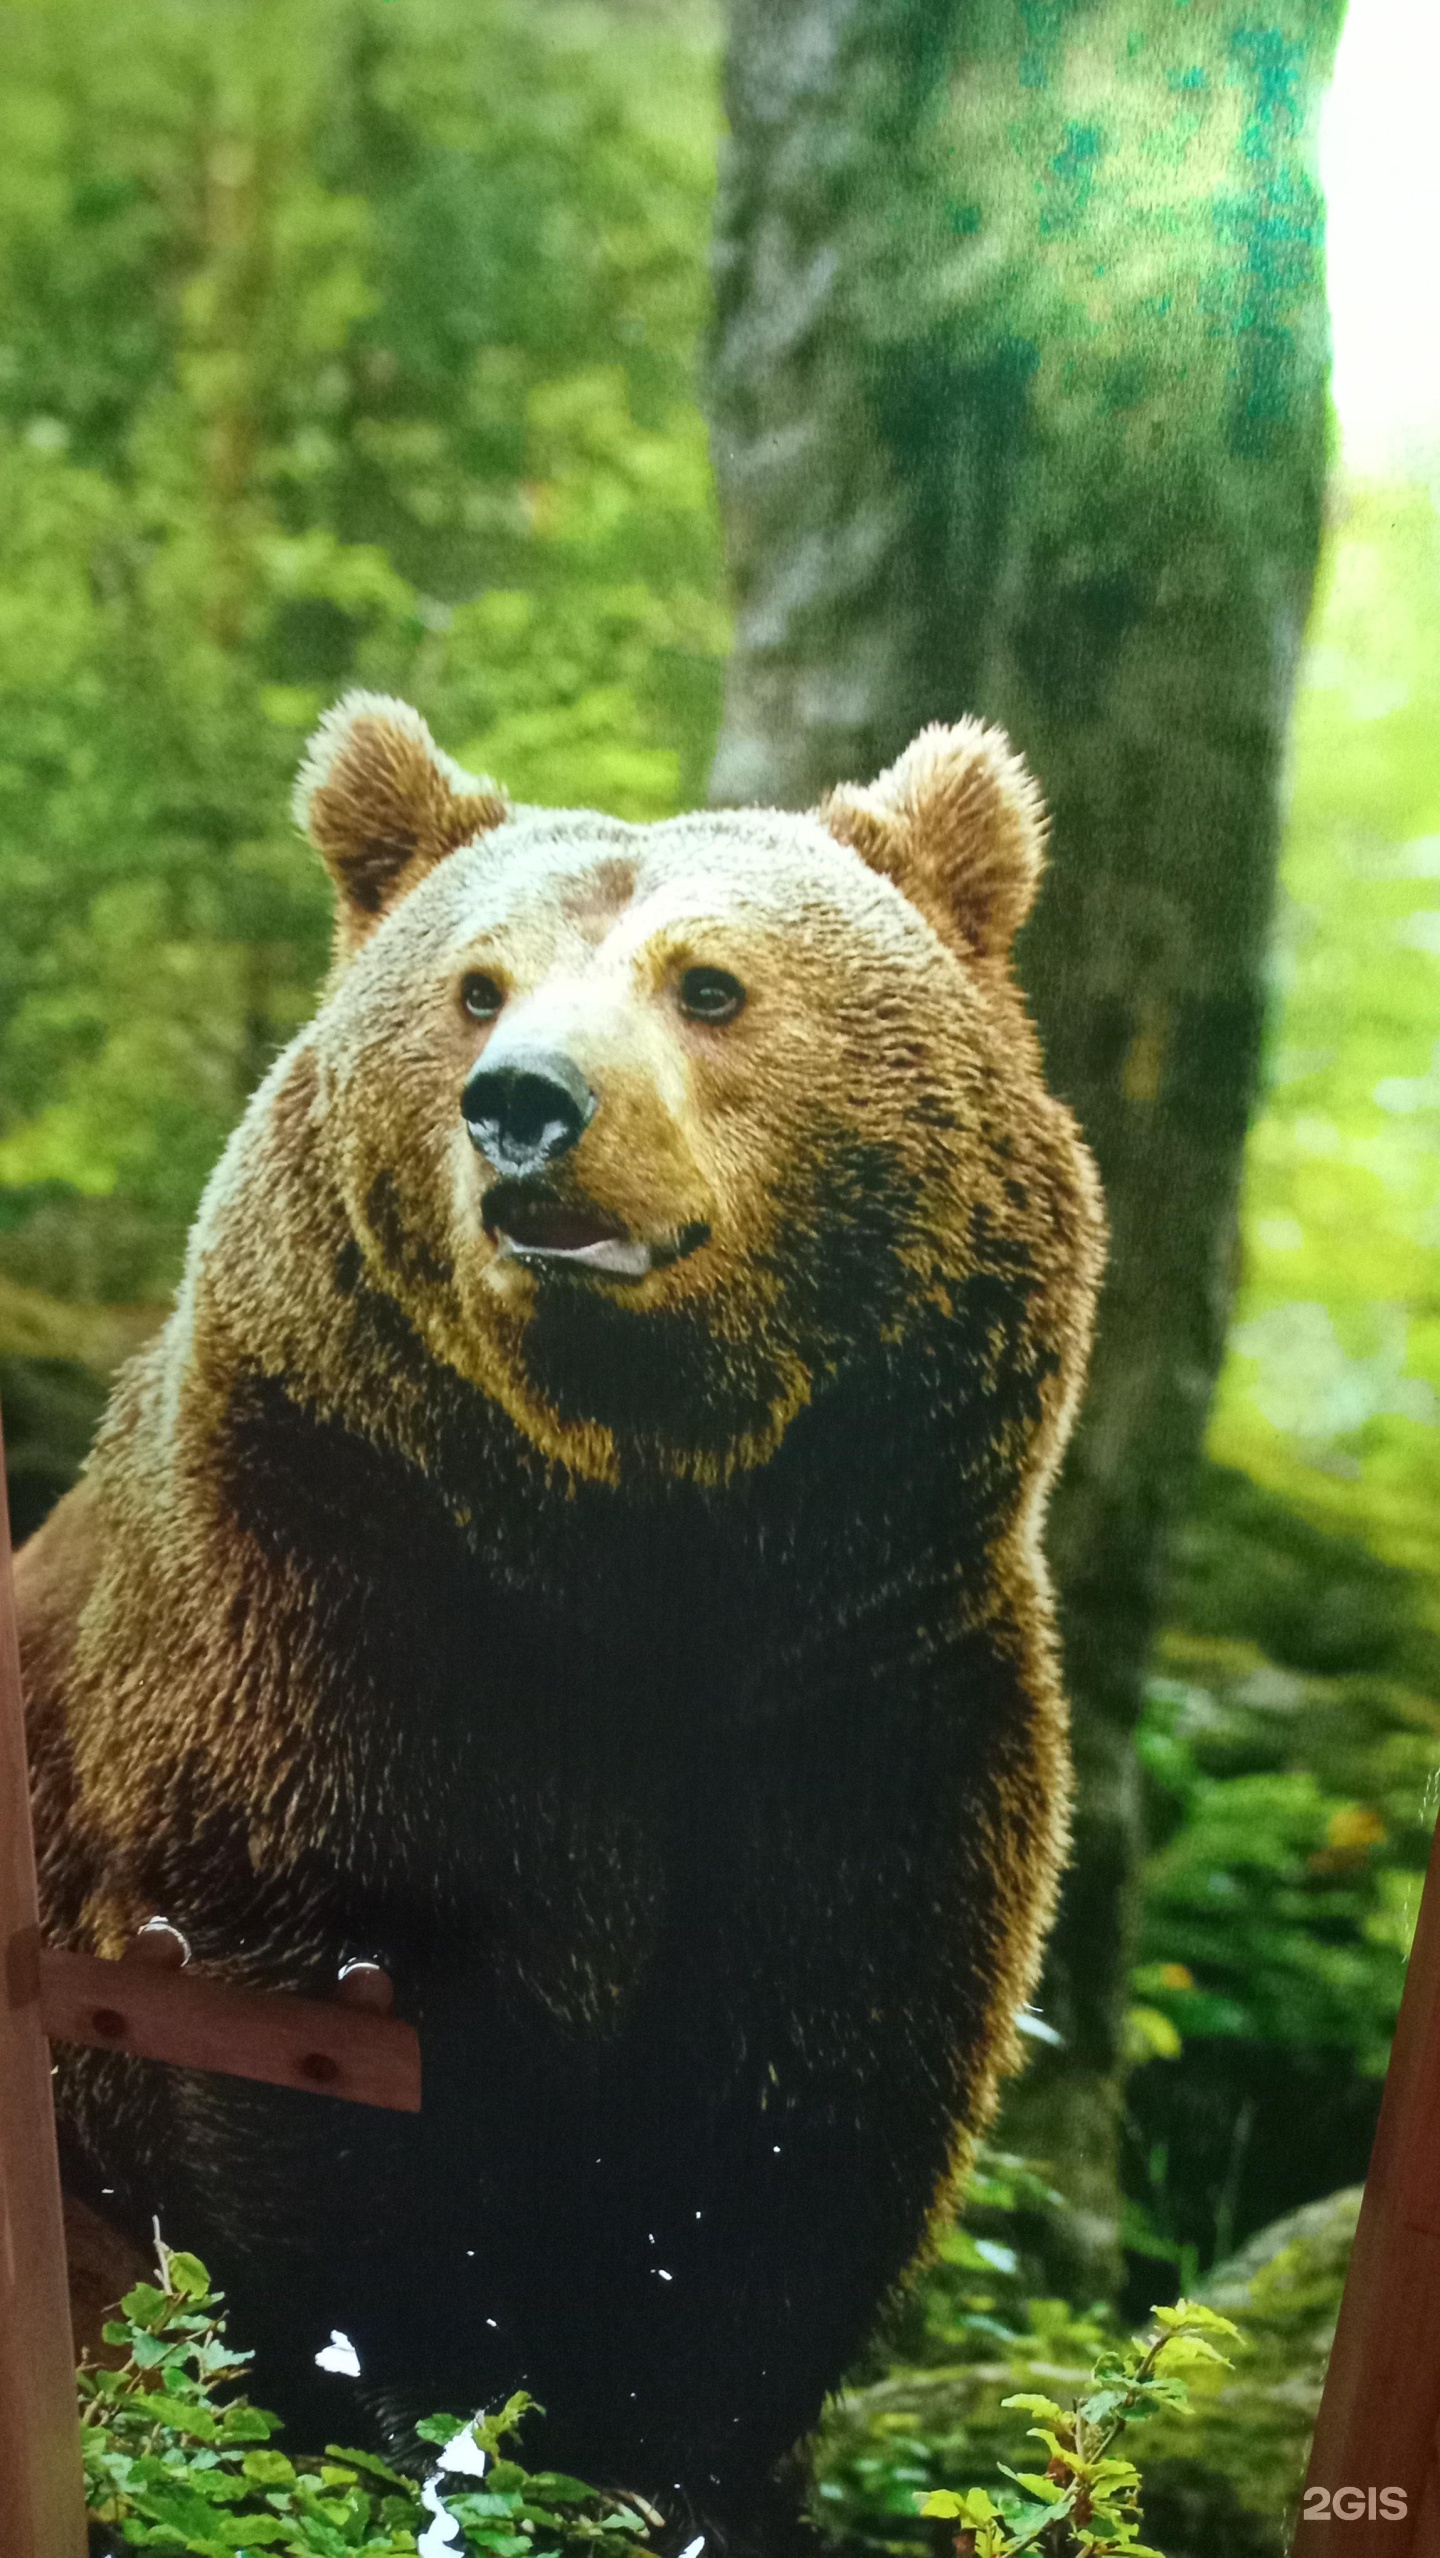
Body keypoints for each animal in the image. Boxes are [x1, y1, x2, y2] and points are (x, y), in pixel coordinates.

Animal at [18, 693, 1103, 2547]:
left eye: (711, 981)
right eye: (477, 983)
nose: (522, 1104)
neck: (634, 1541)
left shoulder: (873, 1671)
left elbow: (802, 2112)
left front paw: (668, 2462)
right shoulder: (331, 1603)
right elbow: (327, 2040)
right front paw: (422, 2421)